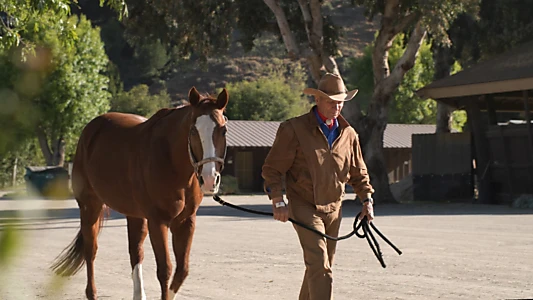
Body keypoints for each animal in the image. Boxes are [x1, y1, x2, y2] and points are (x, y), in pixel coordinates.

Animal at [51, 86, 230, 300]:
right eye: (193, 130)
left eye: (223, 130)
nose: (210, 179)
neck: (171, 161)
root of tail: (90, 130)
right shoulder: (158, 221)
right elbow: (165, 270)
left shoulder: (186, 222)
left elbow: (182, 271)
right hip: (90, 206)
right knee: (90, 251)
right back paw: (92, 292)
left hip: (134, 215)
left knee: (135, 252)